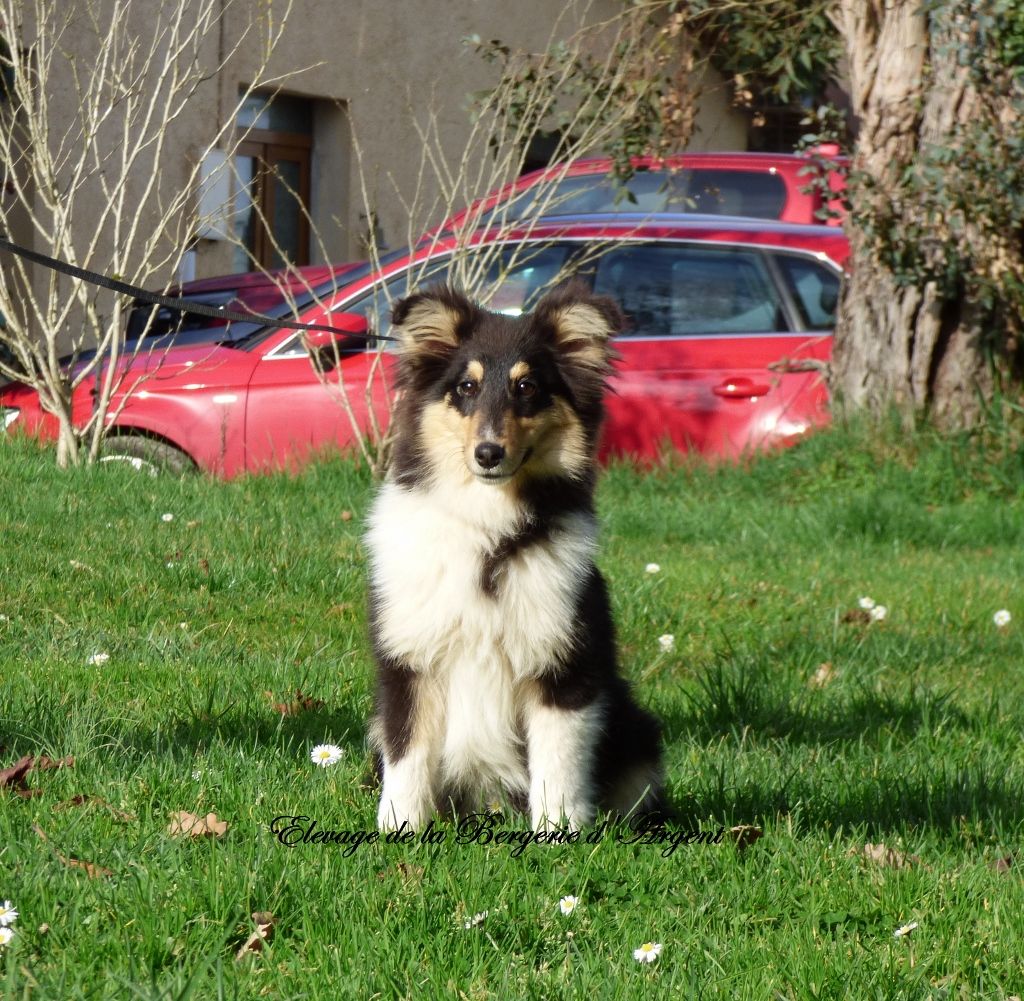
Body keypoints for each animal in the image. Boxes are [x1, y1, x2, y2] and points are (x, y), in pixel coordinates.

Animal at [368, 278, 663, 827]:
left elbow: (559, 765)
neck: (489, 529)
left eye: (527, 388)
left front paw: (558, 832)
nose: (488, 454)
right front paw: (400, 828)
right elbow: (408, 756)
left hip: (636, 730)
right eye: (465, 387)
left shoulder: (565, 666)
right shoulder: (410, 661)